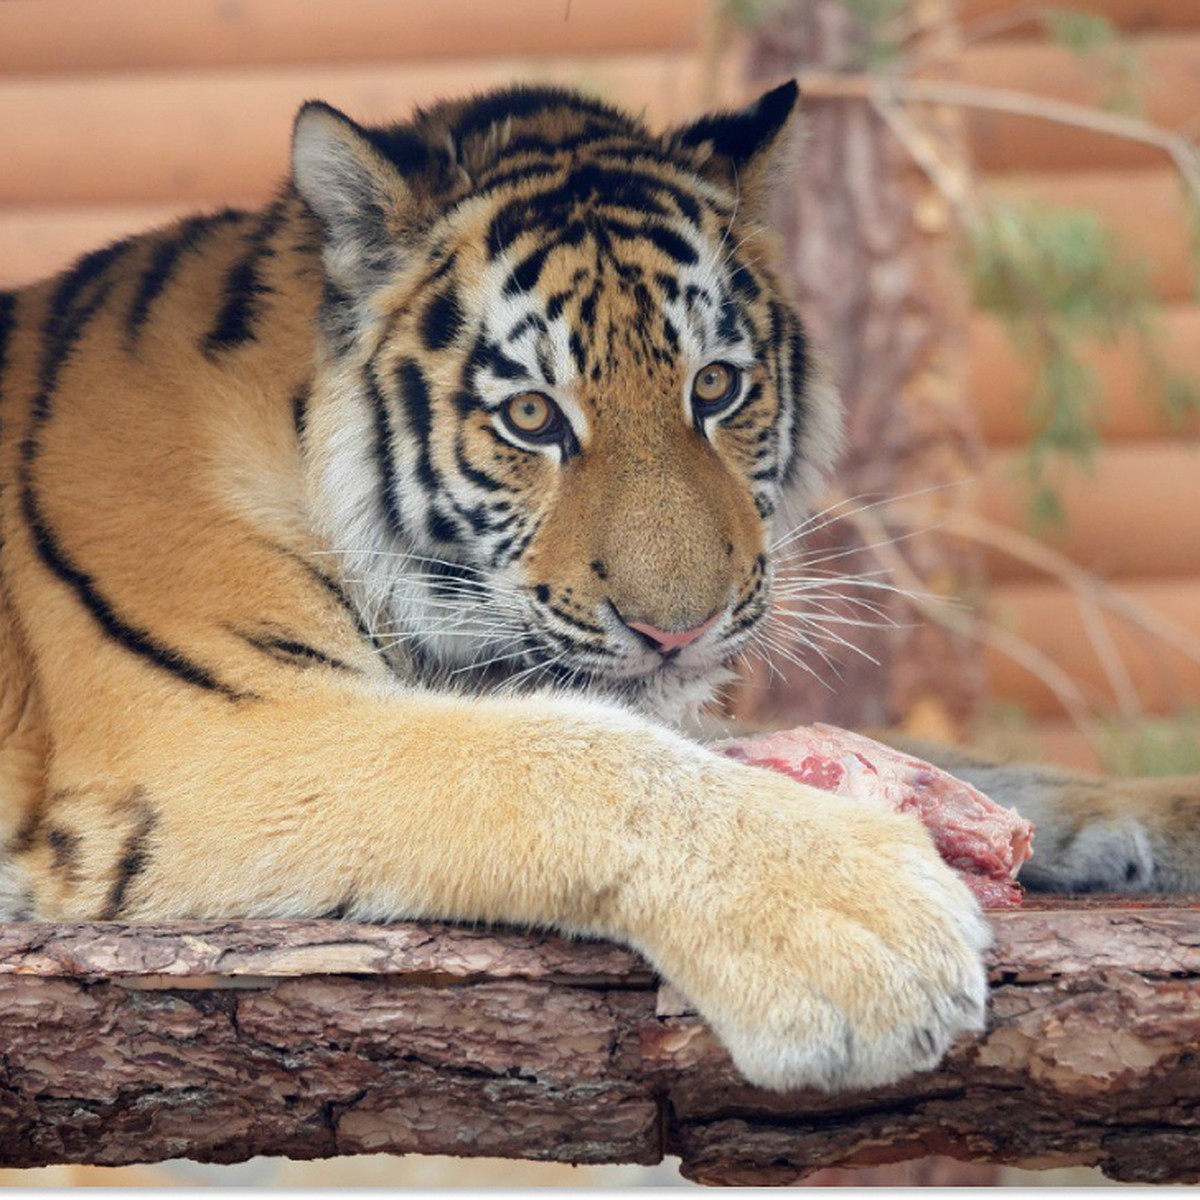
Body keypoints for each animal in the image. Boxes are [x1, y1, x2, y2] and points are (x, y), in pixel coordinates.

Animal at [0, 82, 1185, 1099]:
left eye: (718, 386)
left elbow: (950, 764)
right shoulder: (212, 735)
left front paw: (1159, 813)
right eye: (531, 416)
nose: (681, 628)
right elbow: (570, 753)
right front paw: (863, 935)